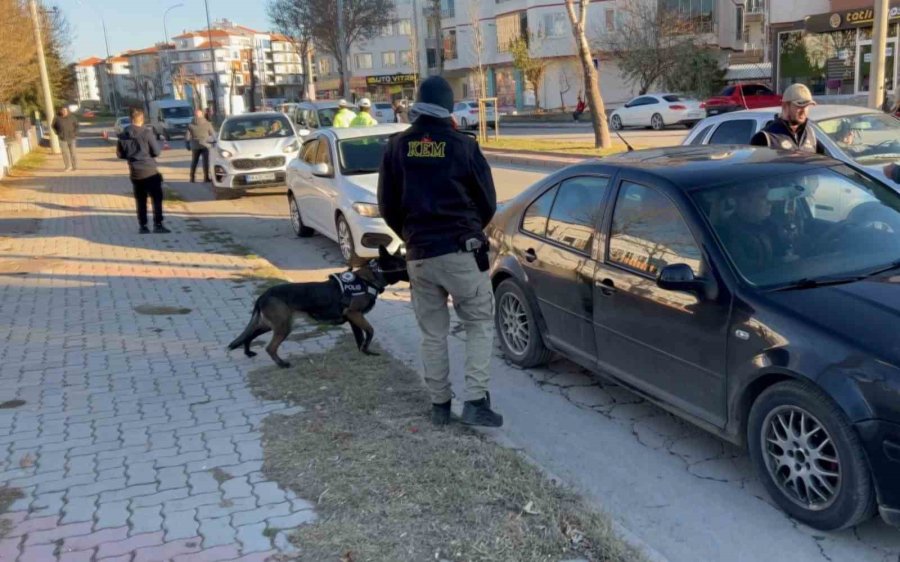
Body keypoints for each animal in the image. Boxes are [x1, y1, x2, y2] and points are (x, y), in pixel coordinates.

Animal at [227, 245, 410, 368]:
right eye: (402, 265)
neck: (369, 279)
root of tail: (264, 295)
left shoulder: (353, 318)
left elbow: (360, 338)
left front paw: (365, 352)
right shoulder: (355, 314)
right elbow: (370, 331)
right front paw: (367, 349)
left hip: (270, 324)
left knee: (249, 335)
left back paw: (248, 352)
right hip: (283, 326)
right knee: (270, 347)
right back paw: (281, 364)